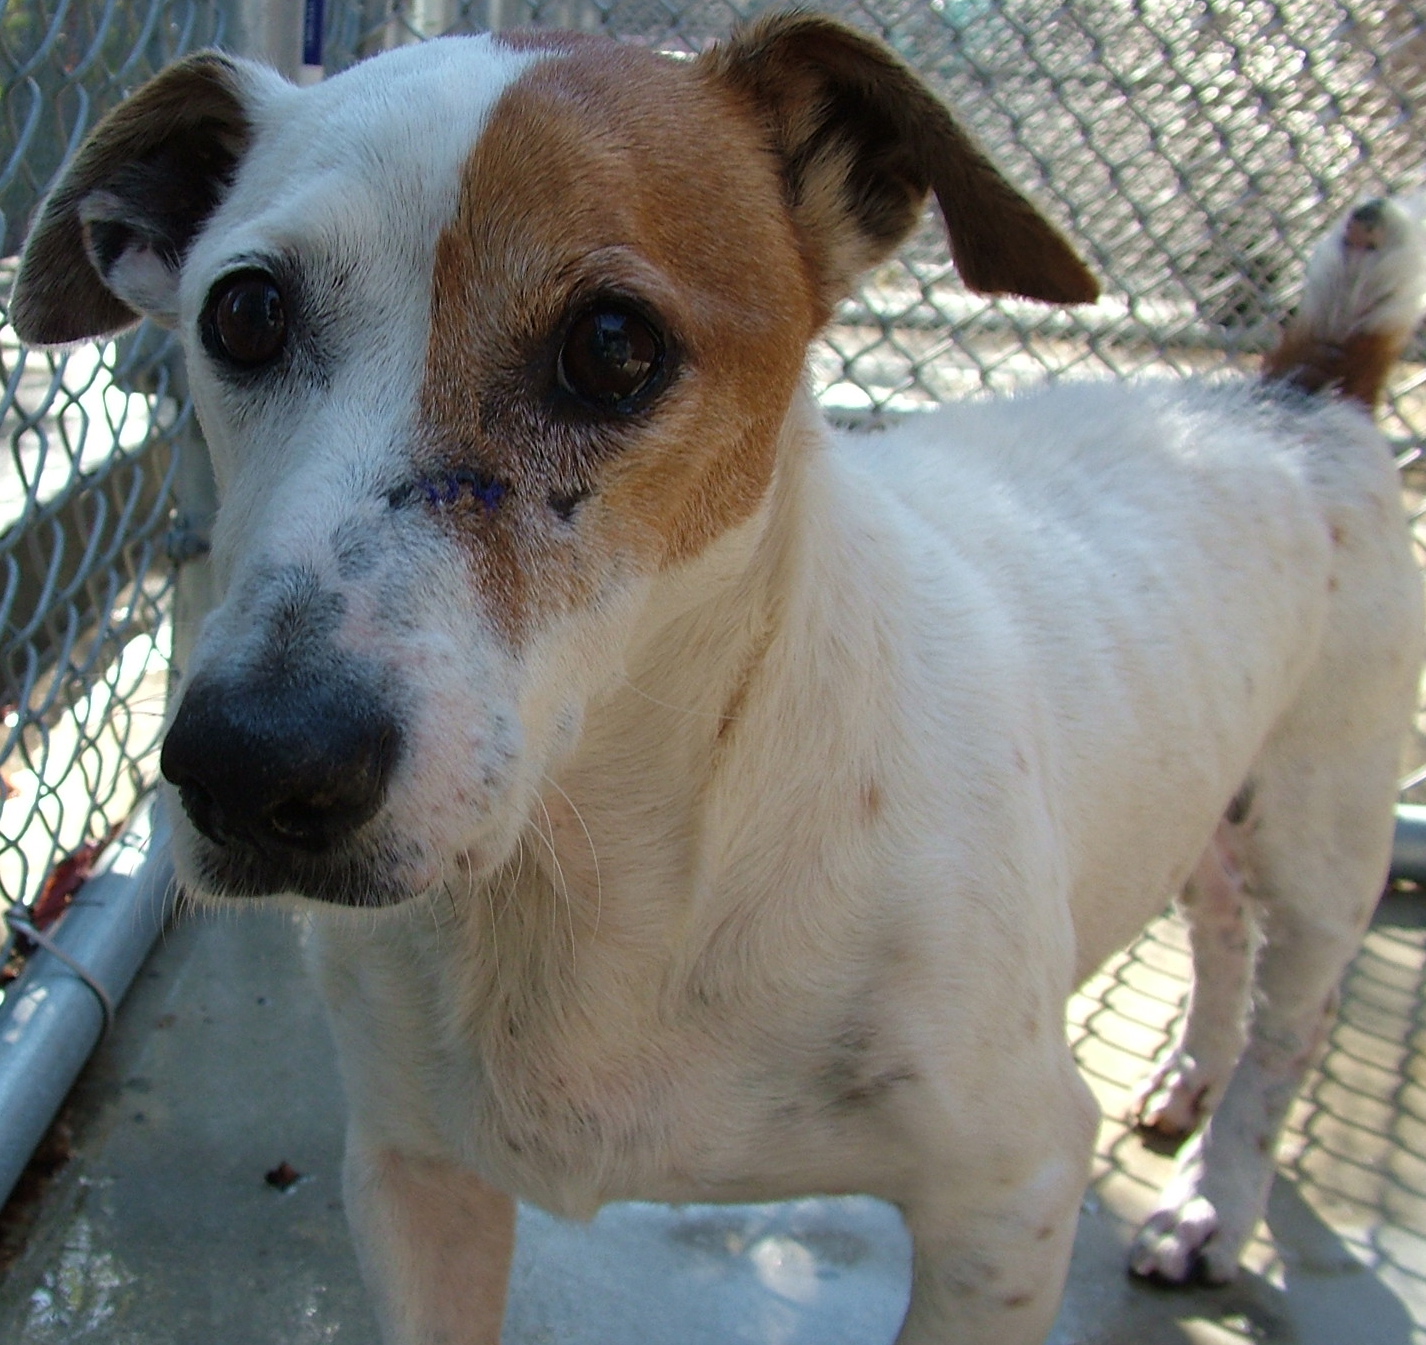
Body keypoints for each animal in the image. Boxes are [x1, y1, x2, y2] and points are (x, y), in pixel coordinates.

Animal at [11, 13, 1426, 1345]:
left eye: (612, 343)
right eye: (242, 314)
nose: (251, 767)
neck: (600, 875)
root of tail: (1303, 387)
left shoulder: (1008, 1196)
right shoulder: (414, 1179)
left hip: (1327, 838)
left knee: (1288, 1029)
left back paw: (1214, 1206)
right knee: (1220, 930)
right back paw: (1187, 1081)